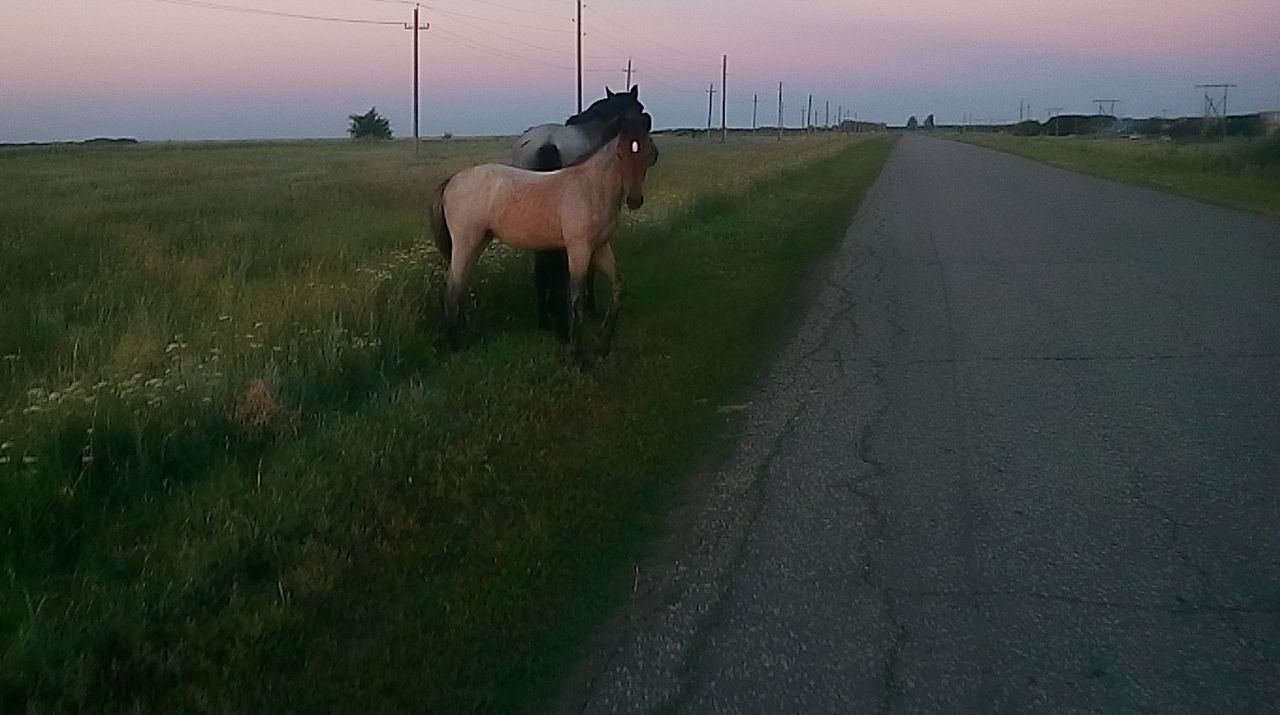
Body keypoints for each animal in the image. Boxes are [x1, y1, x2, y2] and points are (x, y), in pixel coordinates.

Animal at [432, 113, 650, 360]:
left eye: (646, 152)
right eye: (620, 154)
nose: (634, 199)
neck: (591, 188)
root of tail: (451, 182)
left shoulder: (601, 247)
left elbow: (618, 287)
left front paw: (603, 345)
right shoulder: (579, 248)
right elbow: (577, 297)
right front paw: (577, 354)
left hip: (477, 242)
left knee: (460, 285)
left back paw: (465, 335)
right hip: (465, 243)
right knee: (452, 289)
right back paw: (456, 344)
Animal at [506, 86, 655, 345]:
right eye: (639, 108)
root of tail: (546, 143)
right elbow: (588, 270)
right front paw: (591, 306)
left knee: (539, 270)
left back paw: (544, 318)